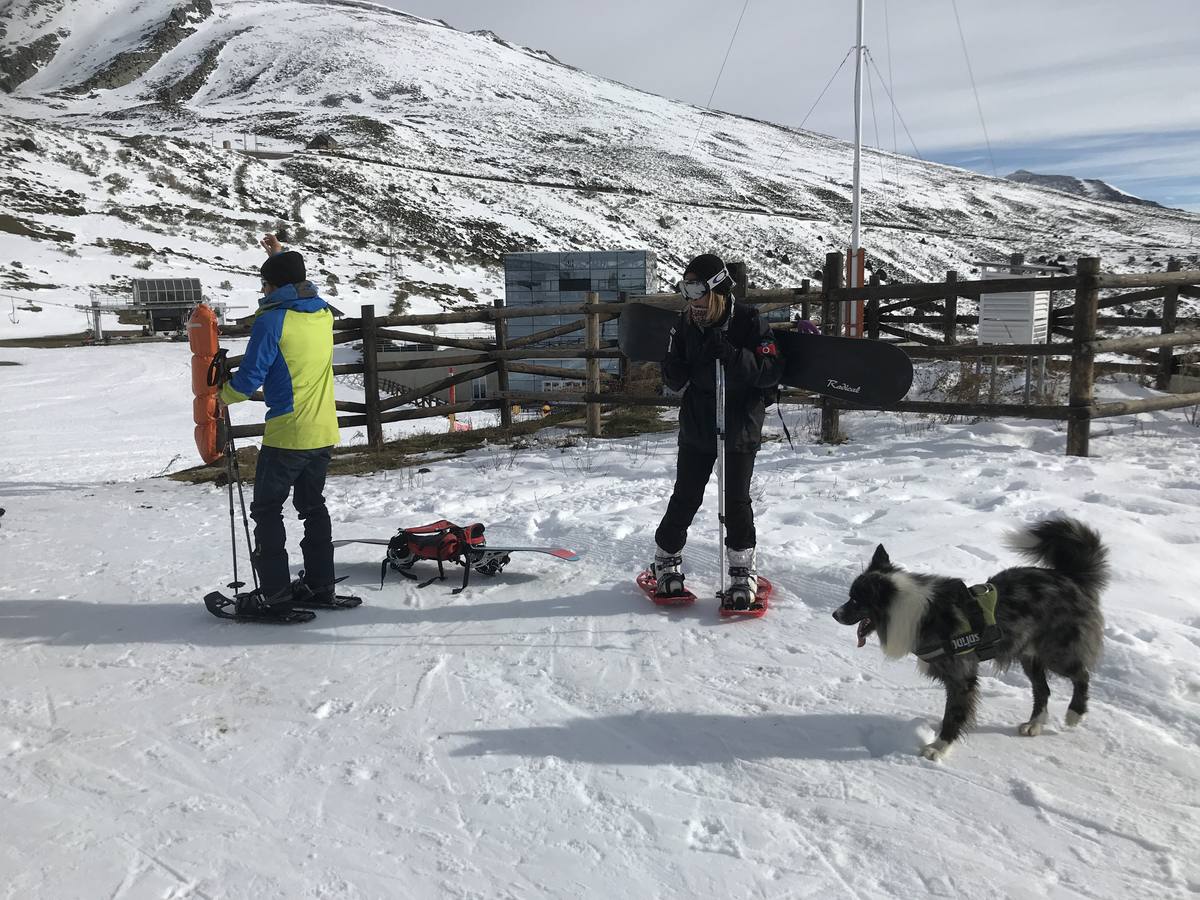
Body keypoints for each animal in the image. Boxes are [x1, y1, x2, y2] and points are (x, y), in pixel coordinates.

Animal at [835, 518, 1104, 763]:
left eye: (856, 600)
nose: (835, 614)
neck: (913, 612)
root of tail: (1070, 577)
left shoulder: (961, 676)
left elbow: (953, 713)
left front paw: (939, 747)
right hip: (1029, 655)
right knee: (1042, 690)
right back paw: (1034, 724)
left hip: (1057, 651)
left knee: (1082, 675)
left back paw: (1075, 714)